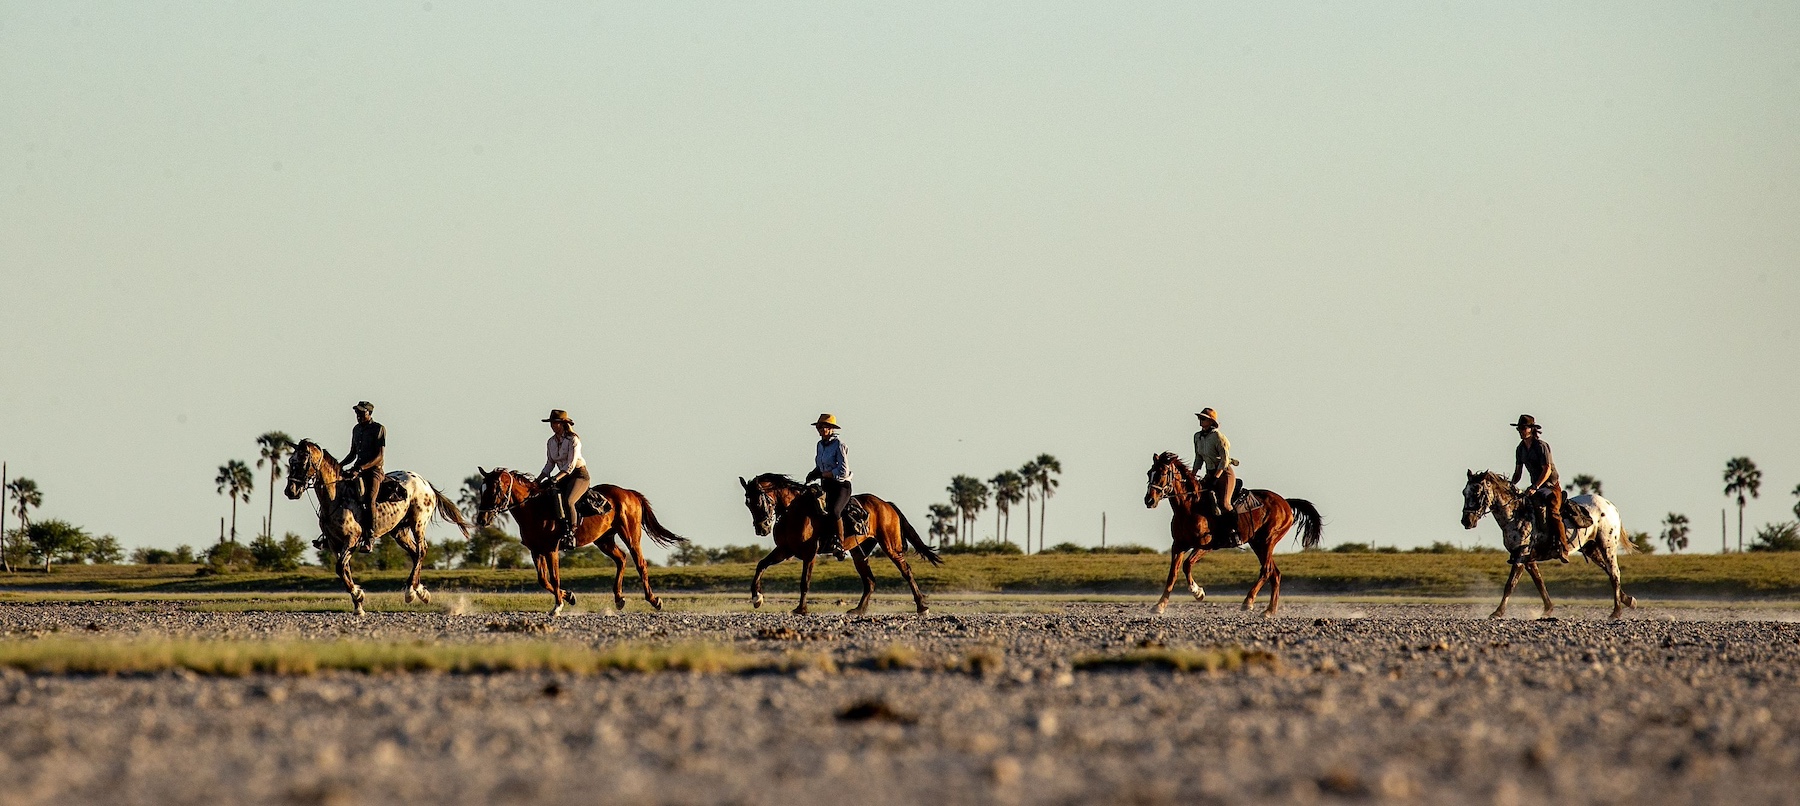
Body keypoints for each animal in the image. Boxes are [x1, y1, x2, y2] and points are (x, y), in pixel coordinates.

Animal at [280, 437, 471, 615]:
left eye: (302, 462)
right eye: (290, 461)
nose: (290, 491)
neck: (337, 497)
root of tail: (425, 483)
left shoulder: (351, 540)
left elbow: (340, 568)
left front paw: (358, 594)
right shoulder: (335, 544)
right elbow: (344, 571)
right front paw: (358, 606)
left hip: (418, 522)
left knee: (422, 549)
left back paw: (411, 592)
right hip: (399, 531)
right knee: (414, 553)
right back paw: (418, 590)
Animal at [471, 467, 687, 618]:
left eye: (495, 489)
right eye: (481, 489)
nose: (482, 519)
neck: (534, 507)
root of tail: (629, 493)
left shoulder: (551, 549)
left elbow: (554, 578)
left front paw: (558, 606)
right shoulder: (536, 551)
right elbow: (543, 580)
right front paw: (569, 596)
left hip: (631, 535)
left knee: (640, 563)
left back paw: (654, 600)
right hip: (604, 539)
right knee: (621, 559)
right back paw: (619, 599)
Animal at [741, 471, 950, 618]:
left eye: (758, 501)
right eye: (747, 503)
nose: (762, 528)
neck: (795, 511)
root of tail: (886, 504)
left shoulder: (809, 553)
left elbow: (804, 582)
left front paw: (801, 609)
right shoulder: (785, 550)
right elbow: (761, 565)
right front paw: (757, 597)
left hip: (890, 546)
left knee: (906, 571)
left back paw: (922, 607)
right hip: (859, 553)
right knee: (870, 581)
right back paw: (858, 610)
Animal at [1137, 449, 1324, 615]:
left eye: (1162, 473)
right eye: (1149, 473)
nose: (1149, 500)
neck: (1190, 507)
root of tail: (1285, 502)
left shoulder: (1208, 545)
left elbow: (1187, 564)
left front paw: (1198, 592)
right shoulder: (1178, 545)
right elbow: (1173, 574)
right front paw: (1159, 605)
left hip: (1267, 541)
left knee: (1266, 570)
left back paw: (1248, 602)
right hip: (1257, 543)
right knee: (1275, 573)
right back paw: (1269, 611)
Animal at [1454, 467, 1641, 618]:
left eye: (1477, 492)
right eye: (1463, 492)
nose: (1466, 521)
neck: (1517, 514)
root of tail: (1611, 506)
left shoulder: (1521, 556)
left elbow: (1510, 584)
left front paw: (1497, 612)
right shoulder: (1528, 559)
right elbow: (1540, 583)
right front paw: (1548, 609)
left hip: (1607, 546)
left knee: (1614, 572)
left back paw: (1616, 612)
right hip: (1591, 549)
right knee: (1609, 571)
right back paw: (1628, 600)